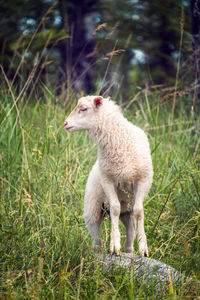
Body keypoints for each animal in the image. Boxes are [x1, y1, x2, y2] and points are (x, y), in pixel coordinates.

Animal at [64, 95, 153, 255]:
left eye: (83, 109)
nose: (65, 123)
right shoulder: (108, 181)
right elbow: (115, 208)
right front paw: (114, 245)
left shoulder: (143, 179)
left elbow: (139, 211)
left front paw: (143, 248)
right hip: (93, 209)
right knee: (95, 232)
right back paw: (98, 250)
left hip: (127, 212)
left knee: (130, 229)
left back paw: (129, 251)